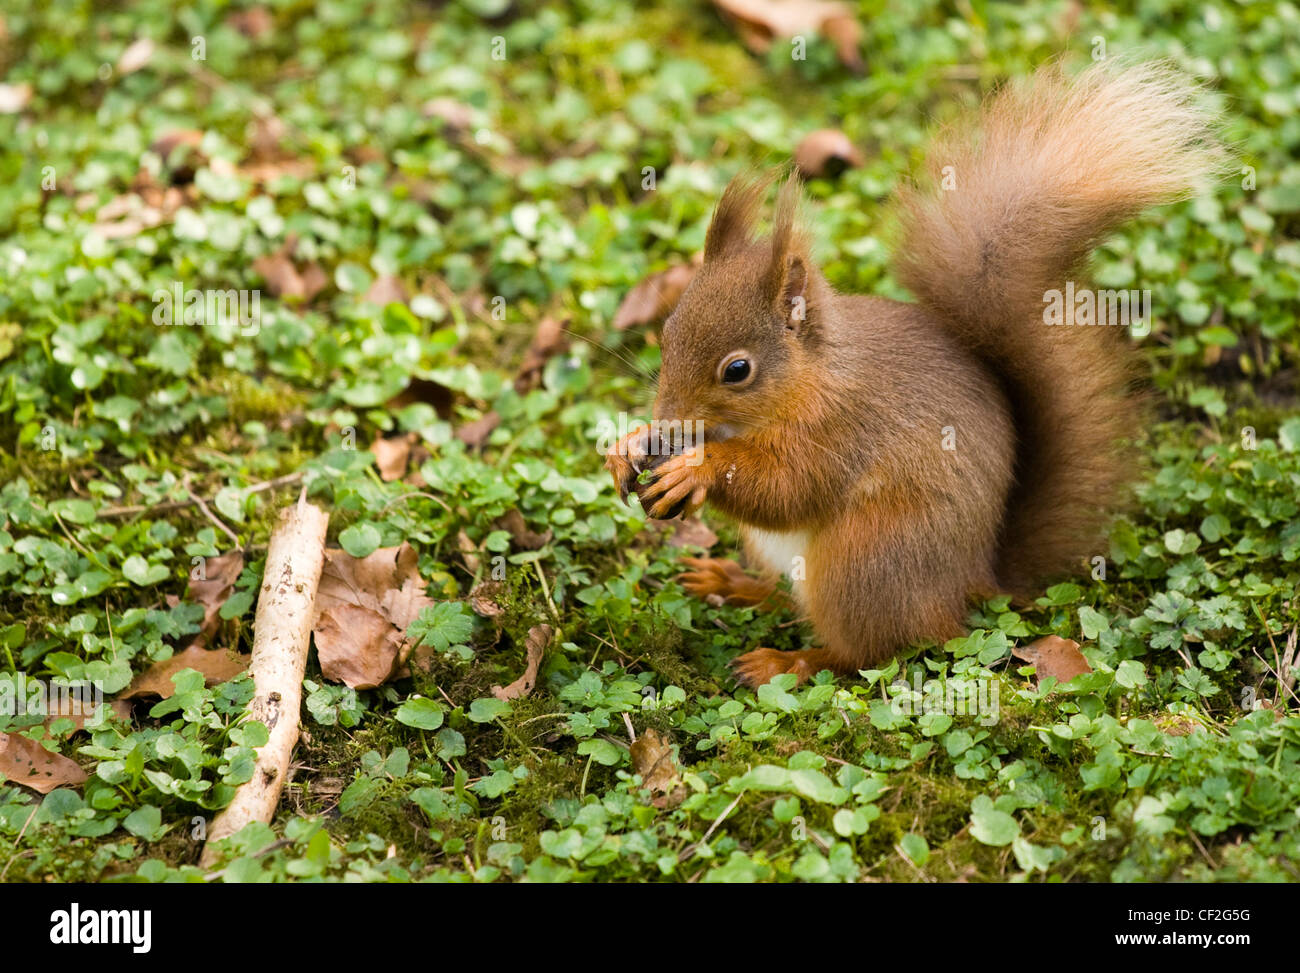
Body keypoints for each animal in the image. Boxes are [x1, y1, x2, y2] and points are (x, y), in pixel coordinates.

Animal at [603, 60, 1222, 686]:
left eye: (737, 370)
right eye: (667, 332)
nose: (668, 419)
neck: (812, 378)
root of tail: (973, 582)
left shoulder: (843, 429)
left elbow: (789, 488)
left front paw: (696, 469)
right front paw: (628, 445)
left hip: (866, 562)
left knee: (867, 650)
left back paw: (787, 660)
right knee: (792, 601)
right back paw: (733, 583)